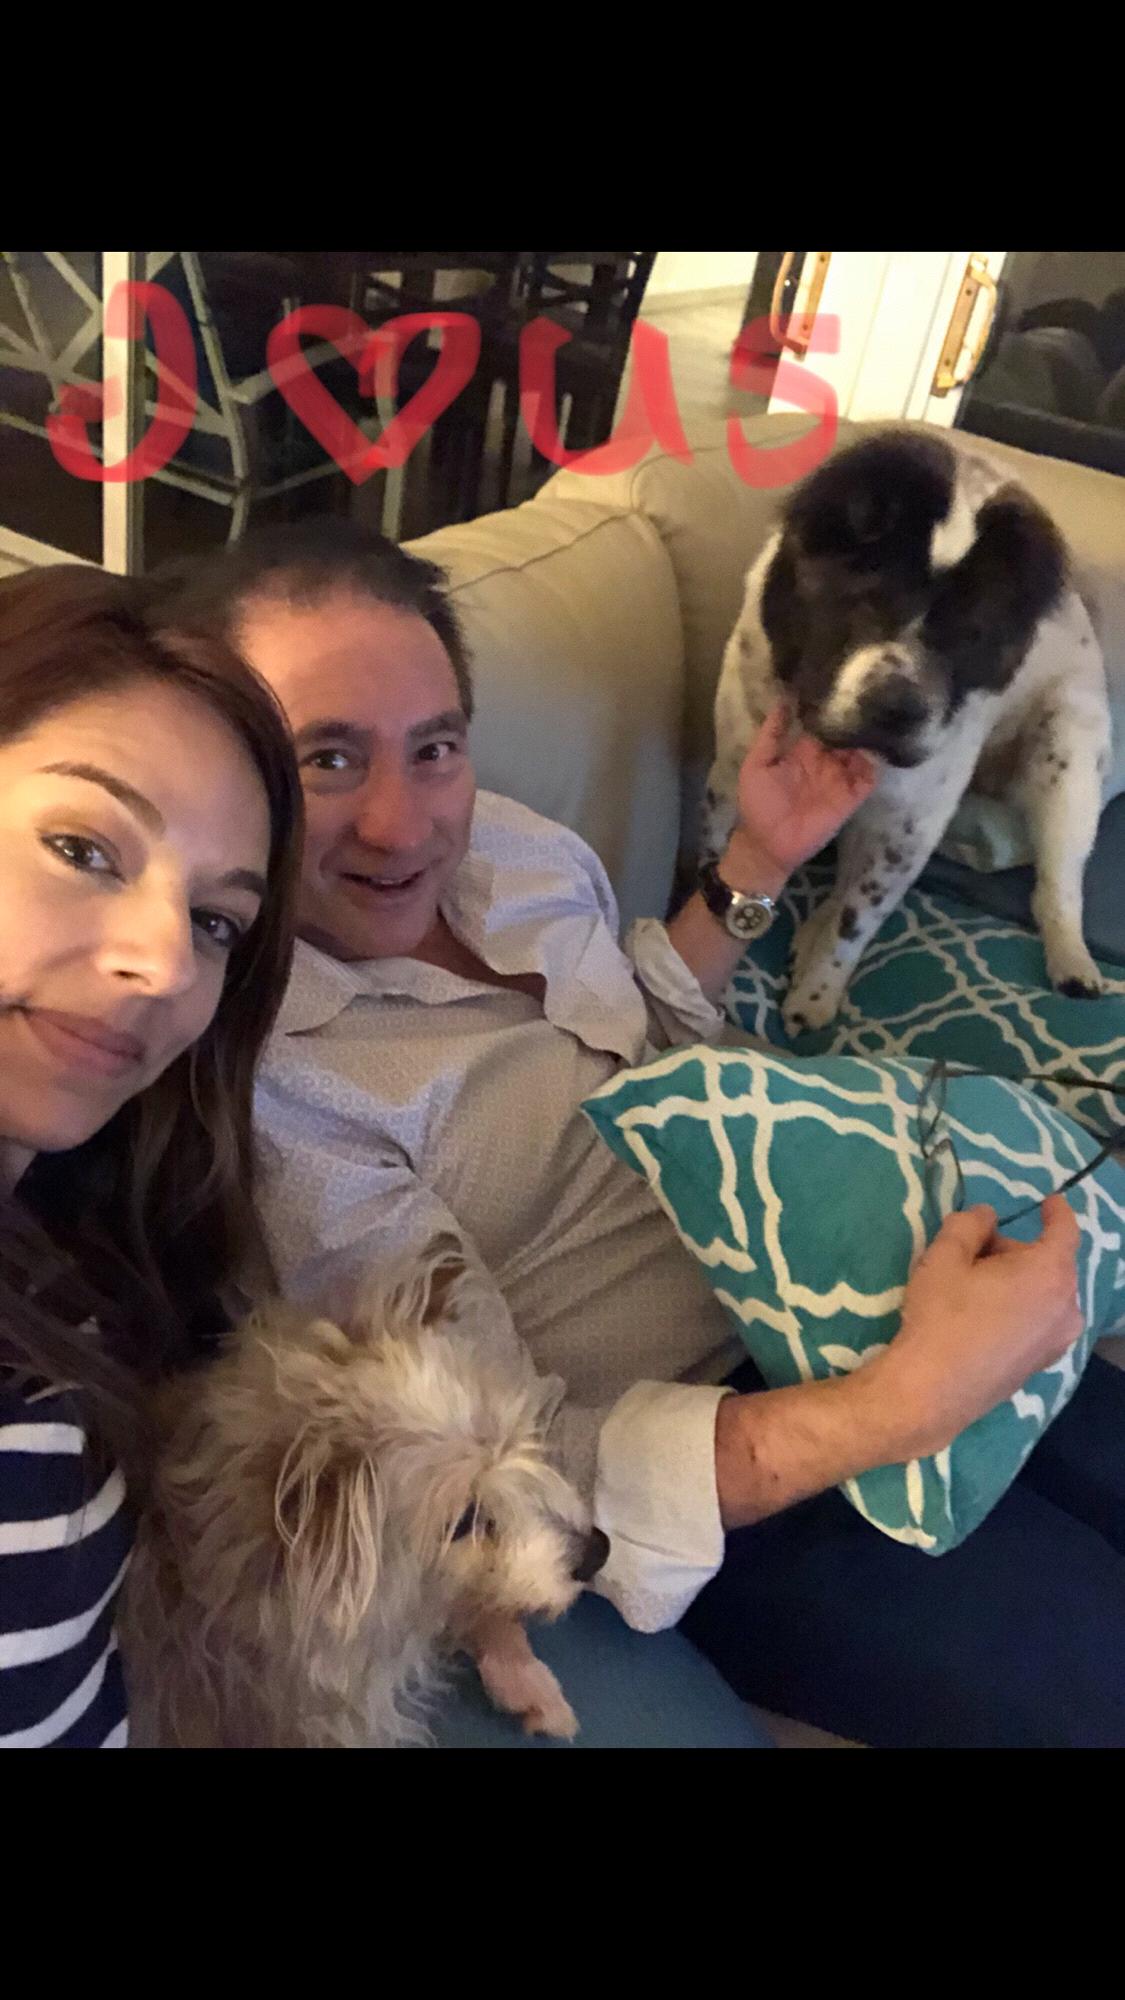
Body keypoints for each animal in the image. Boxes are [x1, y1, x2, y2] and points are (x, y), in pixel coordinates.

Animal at [701, 426, 1112, 1038]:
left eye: (972, 630)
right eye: (864, 596)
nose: (899, 708)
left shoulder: (911, 822)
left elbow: (858, 917)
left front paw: (818, 994)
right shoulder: (732, 773)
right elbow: (712, 855)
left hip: (1066, 757)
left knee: (1057, 886)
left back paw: (1074, 961)